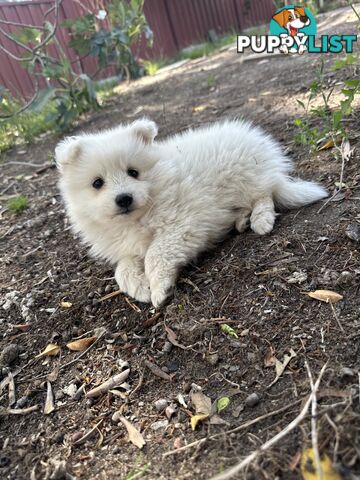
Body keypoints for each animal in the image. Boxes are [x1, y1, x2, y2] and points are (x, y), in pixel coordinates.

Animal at [55, 118, 326, 310]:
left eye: (133, 172)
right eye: (97, 183)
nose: (124, 198)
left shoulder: (182, 225)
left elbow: (156, 253)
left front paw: (159, 288)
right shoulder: (129, 247)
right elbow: (121, 269)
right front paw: (140, 287)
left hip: (245, 175)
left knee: (265, 194)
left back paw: (260, 219)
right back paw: (241, 220)